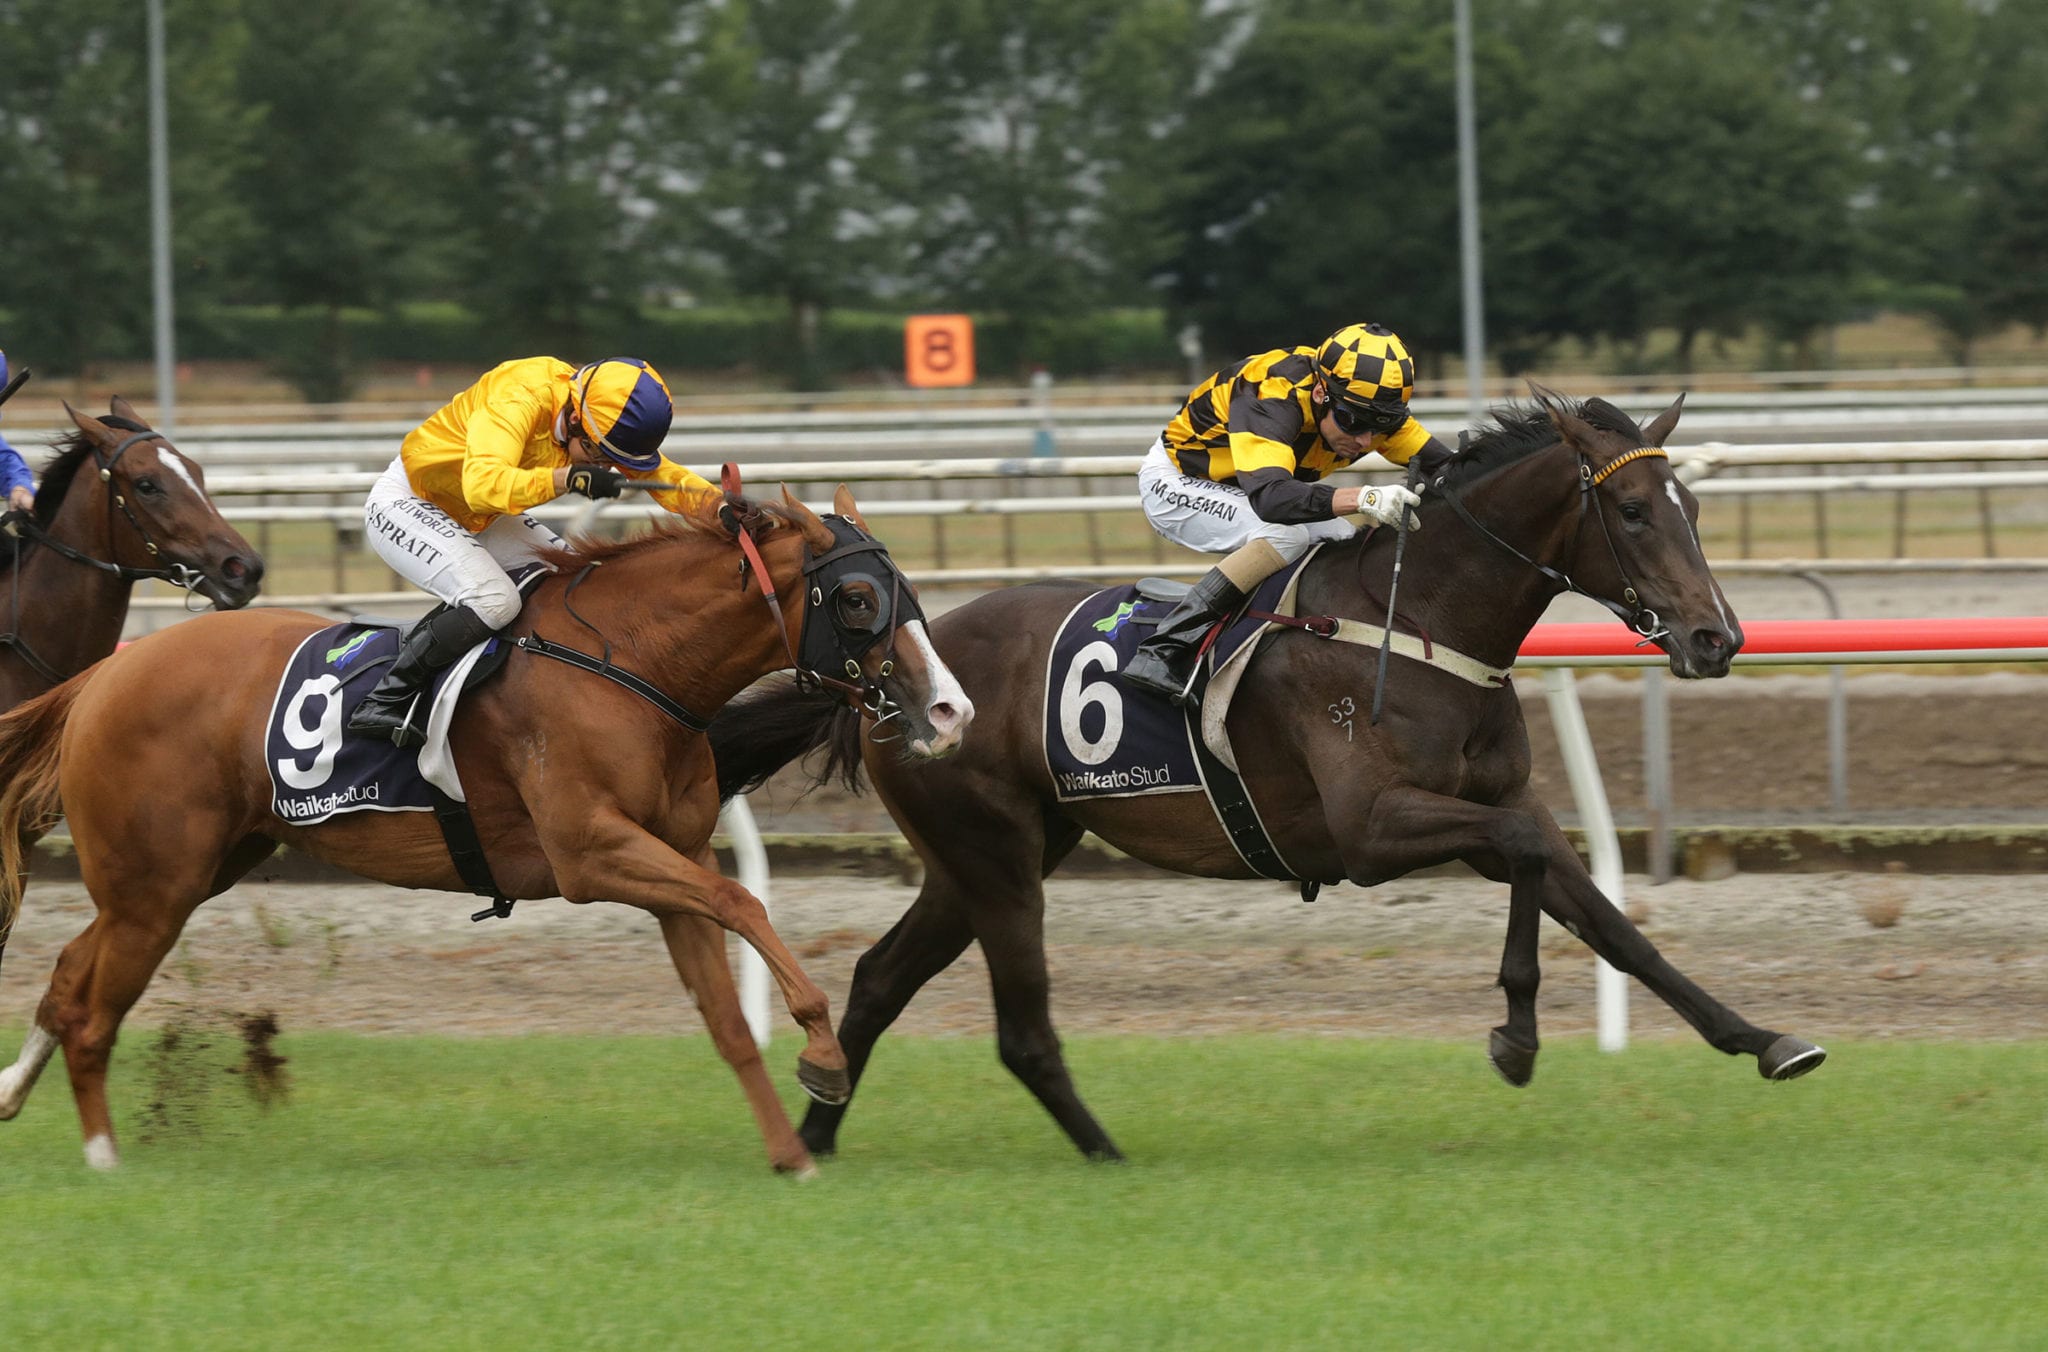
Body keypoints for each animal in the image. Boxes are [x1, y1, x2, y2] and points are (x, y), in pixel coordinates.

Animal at [0, 485, 970, 1171]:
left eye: (907, 591)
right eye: (855, 598)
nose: (950, 709)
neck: (631, 663)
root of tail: (103, 676)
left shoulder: (671, 858)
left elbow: (727, 1011)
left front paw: (790, 1153)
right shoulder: (591, 854)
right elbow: (746, 903)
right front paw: (824, 1055)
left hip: (190, 871)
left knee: (69, 974)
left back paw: (14, 1094)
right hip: (154, 885)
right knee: (91, 1010)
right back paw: (103, 1156)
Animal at [708, 387, 1826, 1163]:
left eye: (1690, 505)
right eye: (1631, 510)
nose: (1714, 638)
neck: (1422, 613)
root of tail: (886, 670)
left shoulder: (1497, 801)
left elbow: (1606, 918)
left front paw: (1764, 1038)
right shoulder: (1371, 827)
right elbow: (1519, 856)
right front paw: (1514, 1035)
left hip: (984, 854)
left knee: (878, 978)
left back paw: (817, 1135)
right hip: (994, 854)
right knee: (1018, 1026)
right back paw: (1102, 1151)